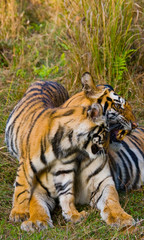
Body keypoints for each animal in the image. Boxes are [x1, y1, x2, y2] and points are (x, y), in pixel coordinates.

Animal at [5, 73, 138, 231]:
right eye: (118, 106)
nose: (136, 125)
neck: (78, 150)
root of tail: (47, 80)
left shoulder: (101, 182)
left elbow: (112, 200)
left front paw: (122, 218)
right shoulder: (34, 180)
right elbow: (29, 197)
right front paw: (32, 219)